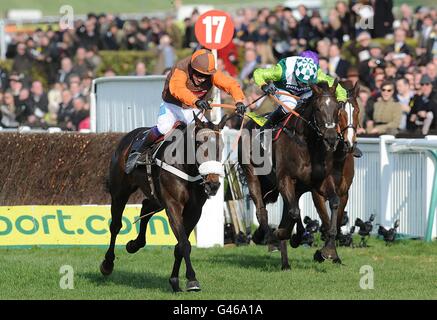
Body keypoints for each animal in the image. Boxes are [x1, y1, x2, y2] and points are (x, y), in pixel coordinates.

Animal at [100, 112, 227, 292]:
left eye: (221, 146)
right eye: (198, 143)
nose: (213, 184)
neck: (185, 166)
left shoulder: (194, 210)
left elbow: (180, 245)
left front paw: (174, 280)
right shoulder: (173, 205)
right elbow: (184, 243)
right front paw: (192, 279)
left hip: (157, 197)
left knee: (146, 208)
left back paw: (134, 244)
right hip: (120, 193)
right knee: (116, 225)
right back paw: (107, 263)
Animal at [238, 79, 344, 268]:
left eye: (338, 107)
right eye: (318, 108)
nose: (331, 138)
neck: (306, 142)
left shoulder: (321, 181)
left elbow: (334, 202)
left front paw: (328, 250)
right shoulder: (284, 179)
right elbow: (293, 212)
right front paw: (282, 234)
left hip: (293, 187)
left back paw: (285, 260)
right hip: (252, 175)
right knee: (262, 211)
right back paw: (270, 238)